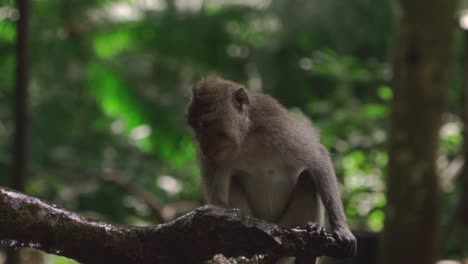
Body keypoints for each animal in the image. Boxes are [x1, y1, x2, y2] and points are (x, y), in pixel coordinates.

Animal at [186, 77, 354, 262]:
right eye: (195, 127)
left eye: (205, 124)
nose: (202, 145)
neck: (246, 138)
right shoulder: (211, 160)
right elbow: (217, 205)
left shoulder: (278, 126)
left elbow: (319, 158)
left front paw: (341, 227)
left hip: (286, 227)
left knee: (308, 178)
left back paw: (311, 237)